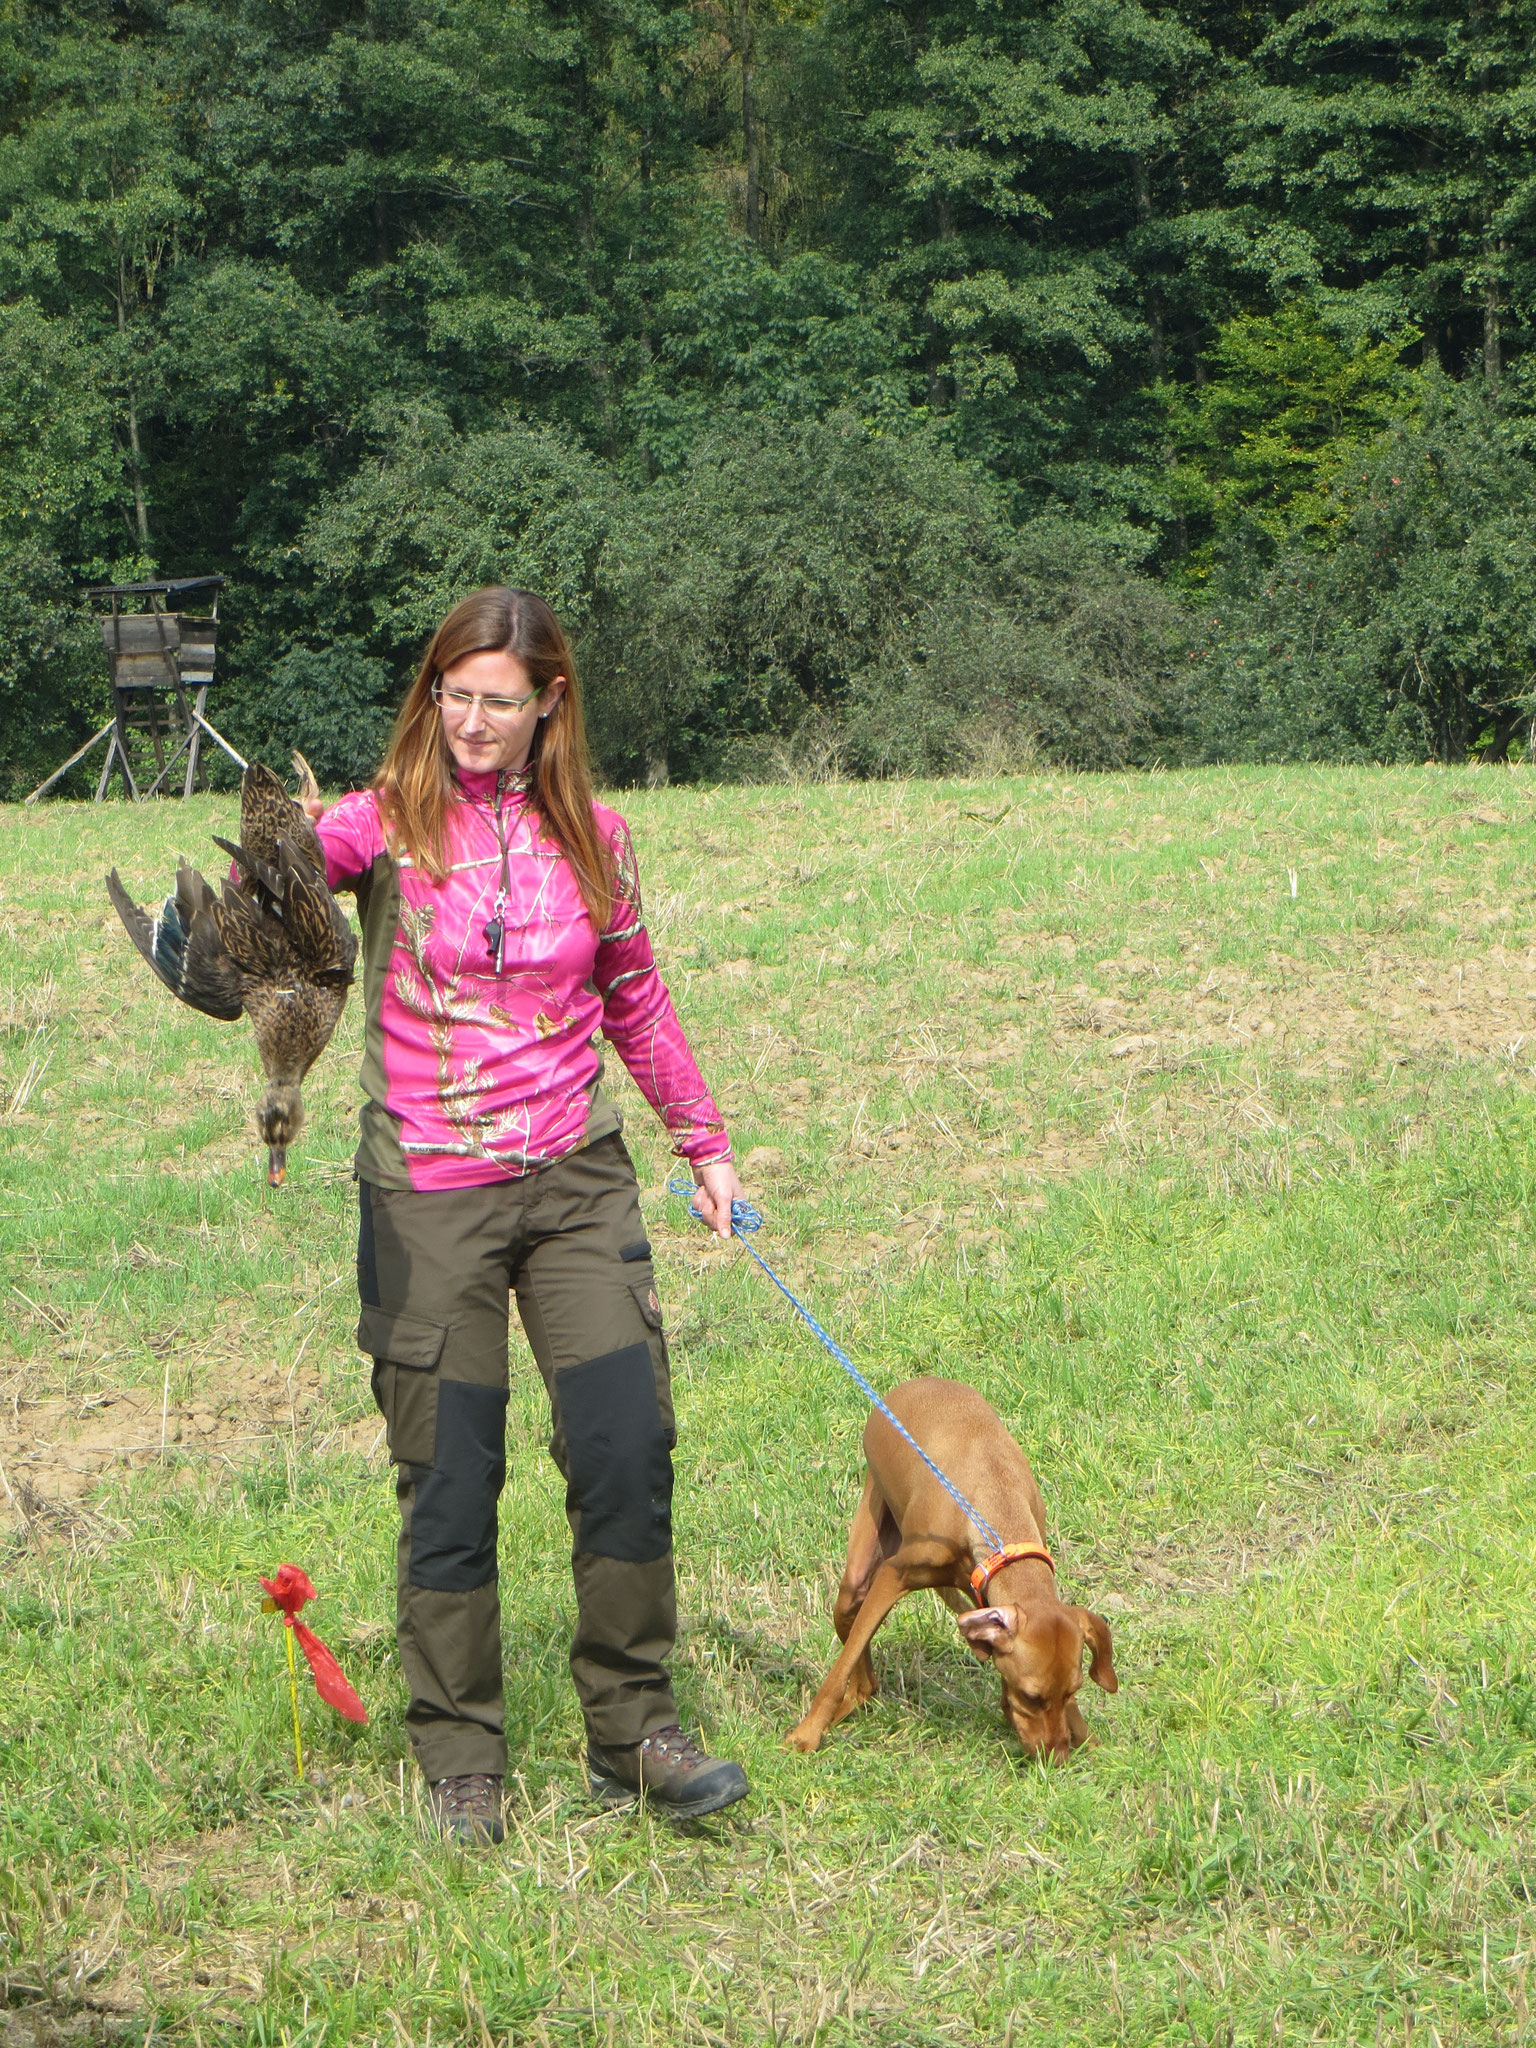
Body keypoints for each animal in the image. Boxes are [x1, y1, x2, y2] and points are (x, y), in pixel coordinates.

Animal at [786, 1376, 1114, 1761]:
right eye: (1032, 1696)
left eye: (1073, 1690)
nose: (1057, 1757)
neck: (995, 1499)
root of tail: (917, 1382)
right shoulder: (892, 1577)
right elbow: (842, 1667)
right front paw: (806, 1734)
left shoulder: (986, 1595)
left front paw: (1085, 1735)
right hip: (859, 1571)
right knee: (859, 1670)